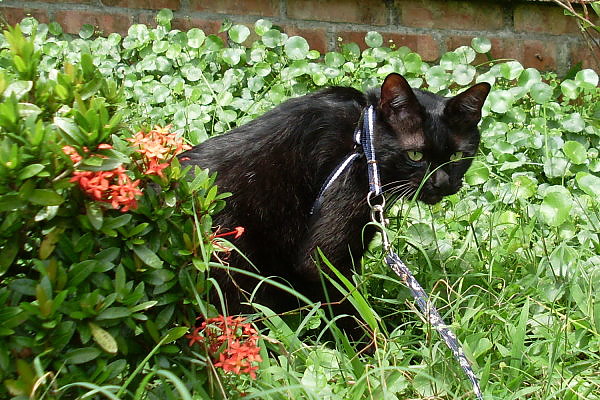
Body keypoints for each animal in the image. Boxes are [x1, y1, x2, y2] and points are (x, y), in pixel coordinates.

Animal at [180, 72, 490, 340]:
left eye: (458, 157)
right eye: (415, 155)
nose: (442, 182)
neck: (361, 138)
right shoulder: (322, 259)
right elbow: (350, 309)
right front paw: (372, 353)